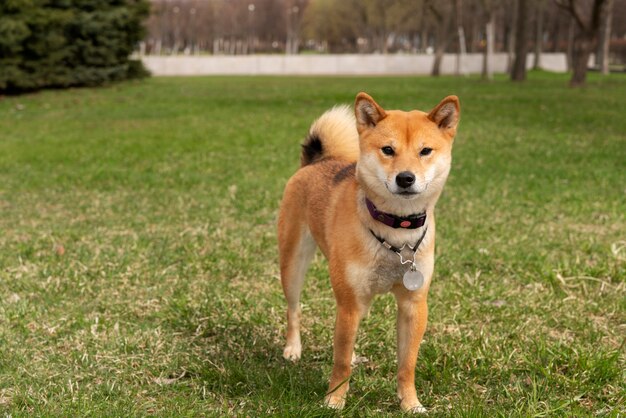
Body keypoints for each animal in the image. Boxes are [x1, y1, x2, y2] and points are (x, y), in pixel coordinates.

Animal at [278, 92, 458, 412]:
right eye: (388, 150)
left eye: (425, 151)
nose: (406, 178)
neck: (397, 230)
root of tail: (316, 162)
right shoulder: (349, 302)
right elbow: (339, 363)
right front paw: (334, 400)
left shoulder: (414, 304)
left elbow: (407, 364)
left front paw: (410, 403)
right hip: (293, 263)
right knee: (294, 309)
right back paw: (293, 348)